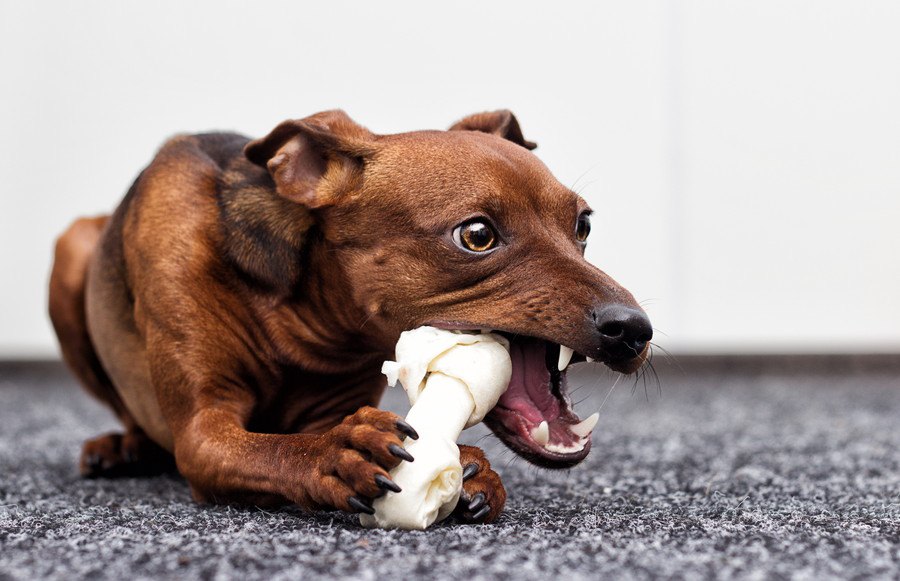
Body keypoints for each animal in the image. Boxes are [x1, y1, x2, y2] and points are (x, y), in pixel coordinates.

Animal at [49, 109, 652, 520]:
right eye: (477, 234)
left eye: (584, 225)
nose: (633, 330)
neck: (300, 321)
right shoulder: (204, 431)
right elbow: (264, 449)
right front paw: (334, 455)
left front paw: (472, 468)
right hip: (71, 250)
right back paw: (121, 445)